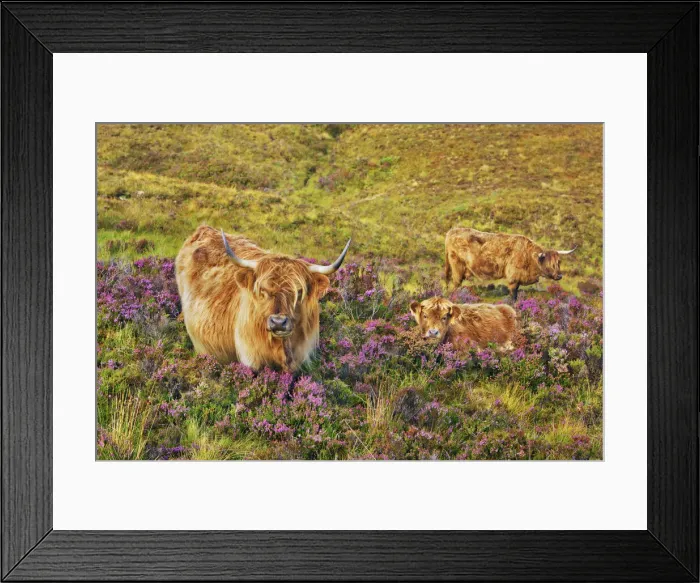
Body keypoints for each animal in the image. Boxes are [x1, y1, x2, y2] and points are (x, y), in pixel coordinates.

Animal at [444, 227, 576, 301]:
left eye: (559, 262)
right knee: (455, 283)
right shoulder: (513, 277)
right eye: (549, 263)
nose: (559, 276)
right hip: (457, 265)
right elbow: (513, 294)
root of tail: (452, 231)